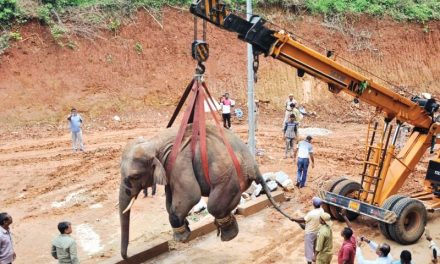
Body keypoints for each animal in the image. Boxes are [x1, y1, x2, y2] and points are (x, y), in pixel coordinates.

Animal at [118, 124, 294, 258]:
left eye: (134, 176)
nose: (127, 257)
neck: (154, 142)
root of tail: (254, 167)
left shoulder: (179, 161)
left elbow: (191, 195)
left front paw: (182, 237)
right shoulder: (170, 168)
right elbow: (170, 199)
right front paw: (185, 228)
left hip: (227, 178)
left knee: (215, 206)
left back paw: (228, 234)